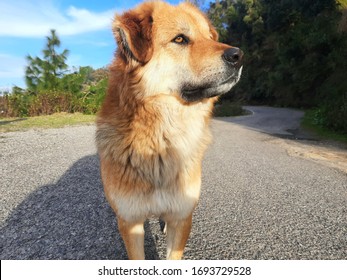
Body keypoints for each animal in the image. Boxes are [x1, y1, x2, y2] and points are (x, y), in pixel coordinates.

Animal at [94, 0, 242, 260]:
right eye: (180, 39)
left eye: (209, 37)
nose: (239, 56)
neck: (160, 141)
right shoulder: (130, 222)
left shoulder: (182, 217)